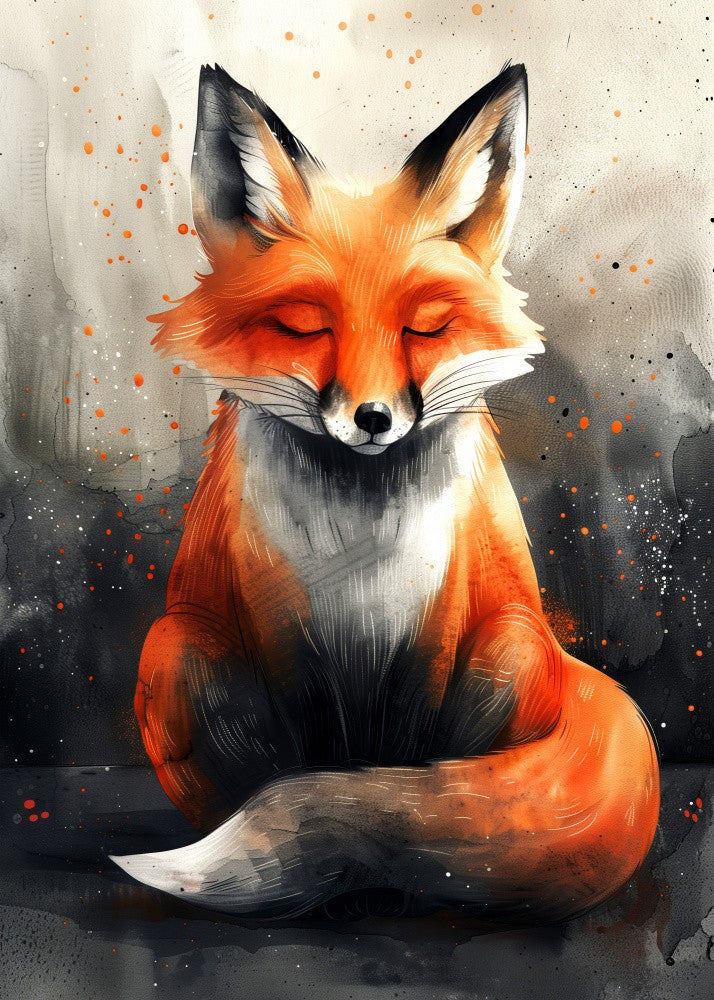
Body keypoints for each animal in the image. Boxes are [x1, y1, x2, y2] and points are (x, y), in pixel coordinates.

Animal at [111, 63, 659, 922]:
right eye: (307, 326)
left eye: (424, 328)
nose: (373, 419)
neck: (355, 556)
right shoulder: (278, 632)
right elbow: (301, 766)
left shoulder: (433, 633)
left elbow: (399, 773)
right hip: (176, 652)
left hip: (510, 648)